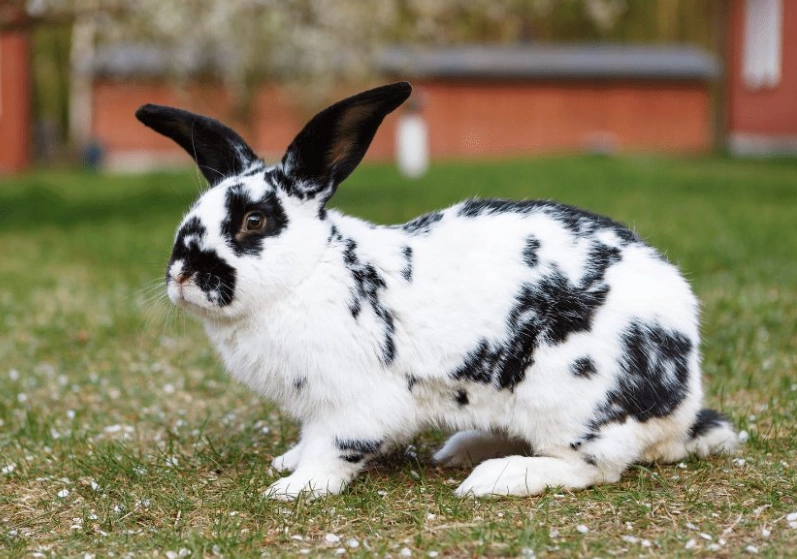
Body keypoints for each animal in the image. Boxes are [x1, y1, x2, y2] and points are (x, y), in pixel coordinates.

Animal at [136, 82, 738, 500]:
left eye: (253, 221)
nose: (181, 273)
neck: (309, 272)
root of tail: (683, 402)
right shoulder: (315, 407)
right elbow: (309, 438)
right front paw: (288, 462)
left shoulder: (354, 405)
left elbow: (333, 450)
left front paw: (293, 487)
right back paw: (460, 449)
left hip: (569, 399)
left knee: (591, 467)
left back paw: (494, 478)